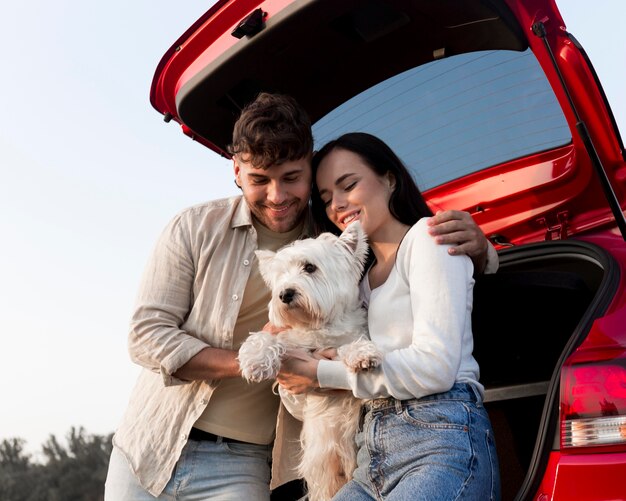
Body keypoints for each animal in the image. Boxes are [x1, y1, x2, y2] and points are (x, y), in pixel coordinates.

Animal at [236, 223, 378, 500]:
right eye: (281, 275)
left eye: (310, 267)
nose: (284, 294)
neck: (318, 326)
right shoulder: (292, 342)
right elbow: (267, 337)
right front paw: (255, 359)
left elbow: (350, 345)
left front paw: (361, 354)